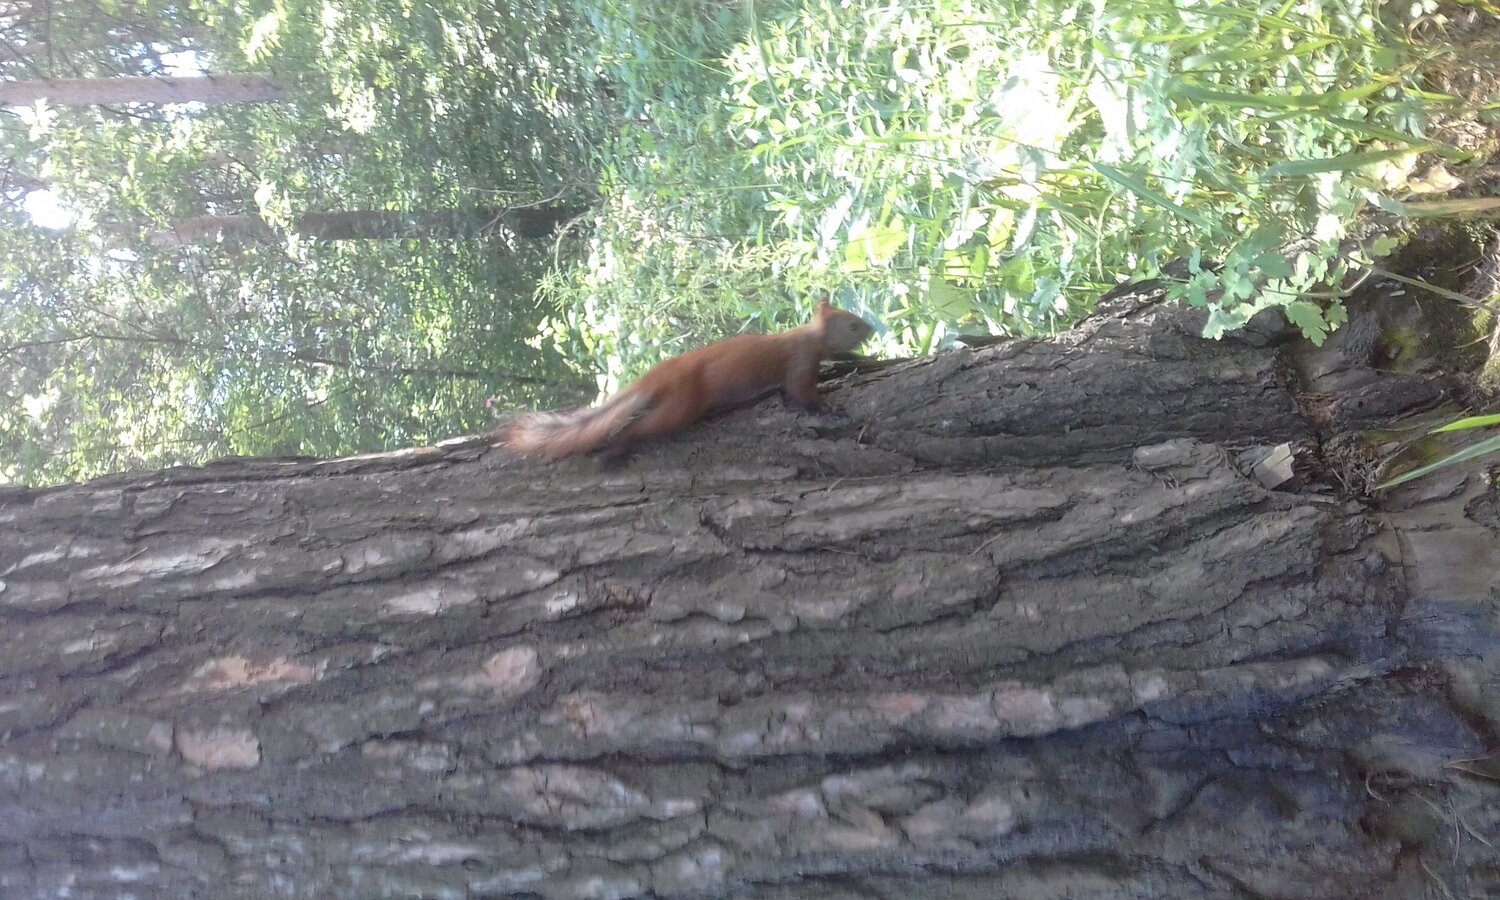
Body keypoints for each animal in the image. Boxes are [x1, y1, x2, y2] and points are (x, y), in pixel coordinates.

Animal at [504, 297, 875, 462]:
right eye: (853, 324)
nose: (872, 329)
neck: (810, 337)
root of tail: (659, 375)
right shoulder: (798, 362)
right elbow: (801, 392)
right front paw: (828, 409)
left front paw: (863, 358)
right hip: (682, 404)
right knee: (645, 427)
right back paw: (620, 449)